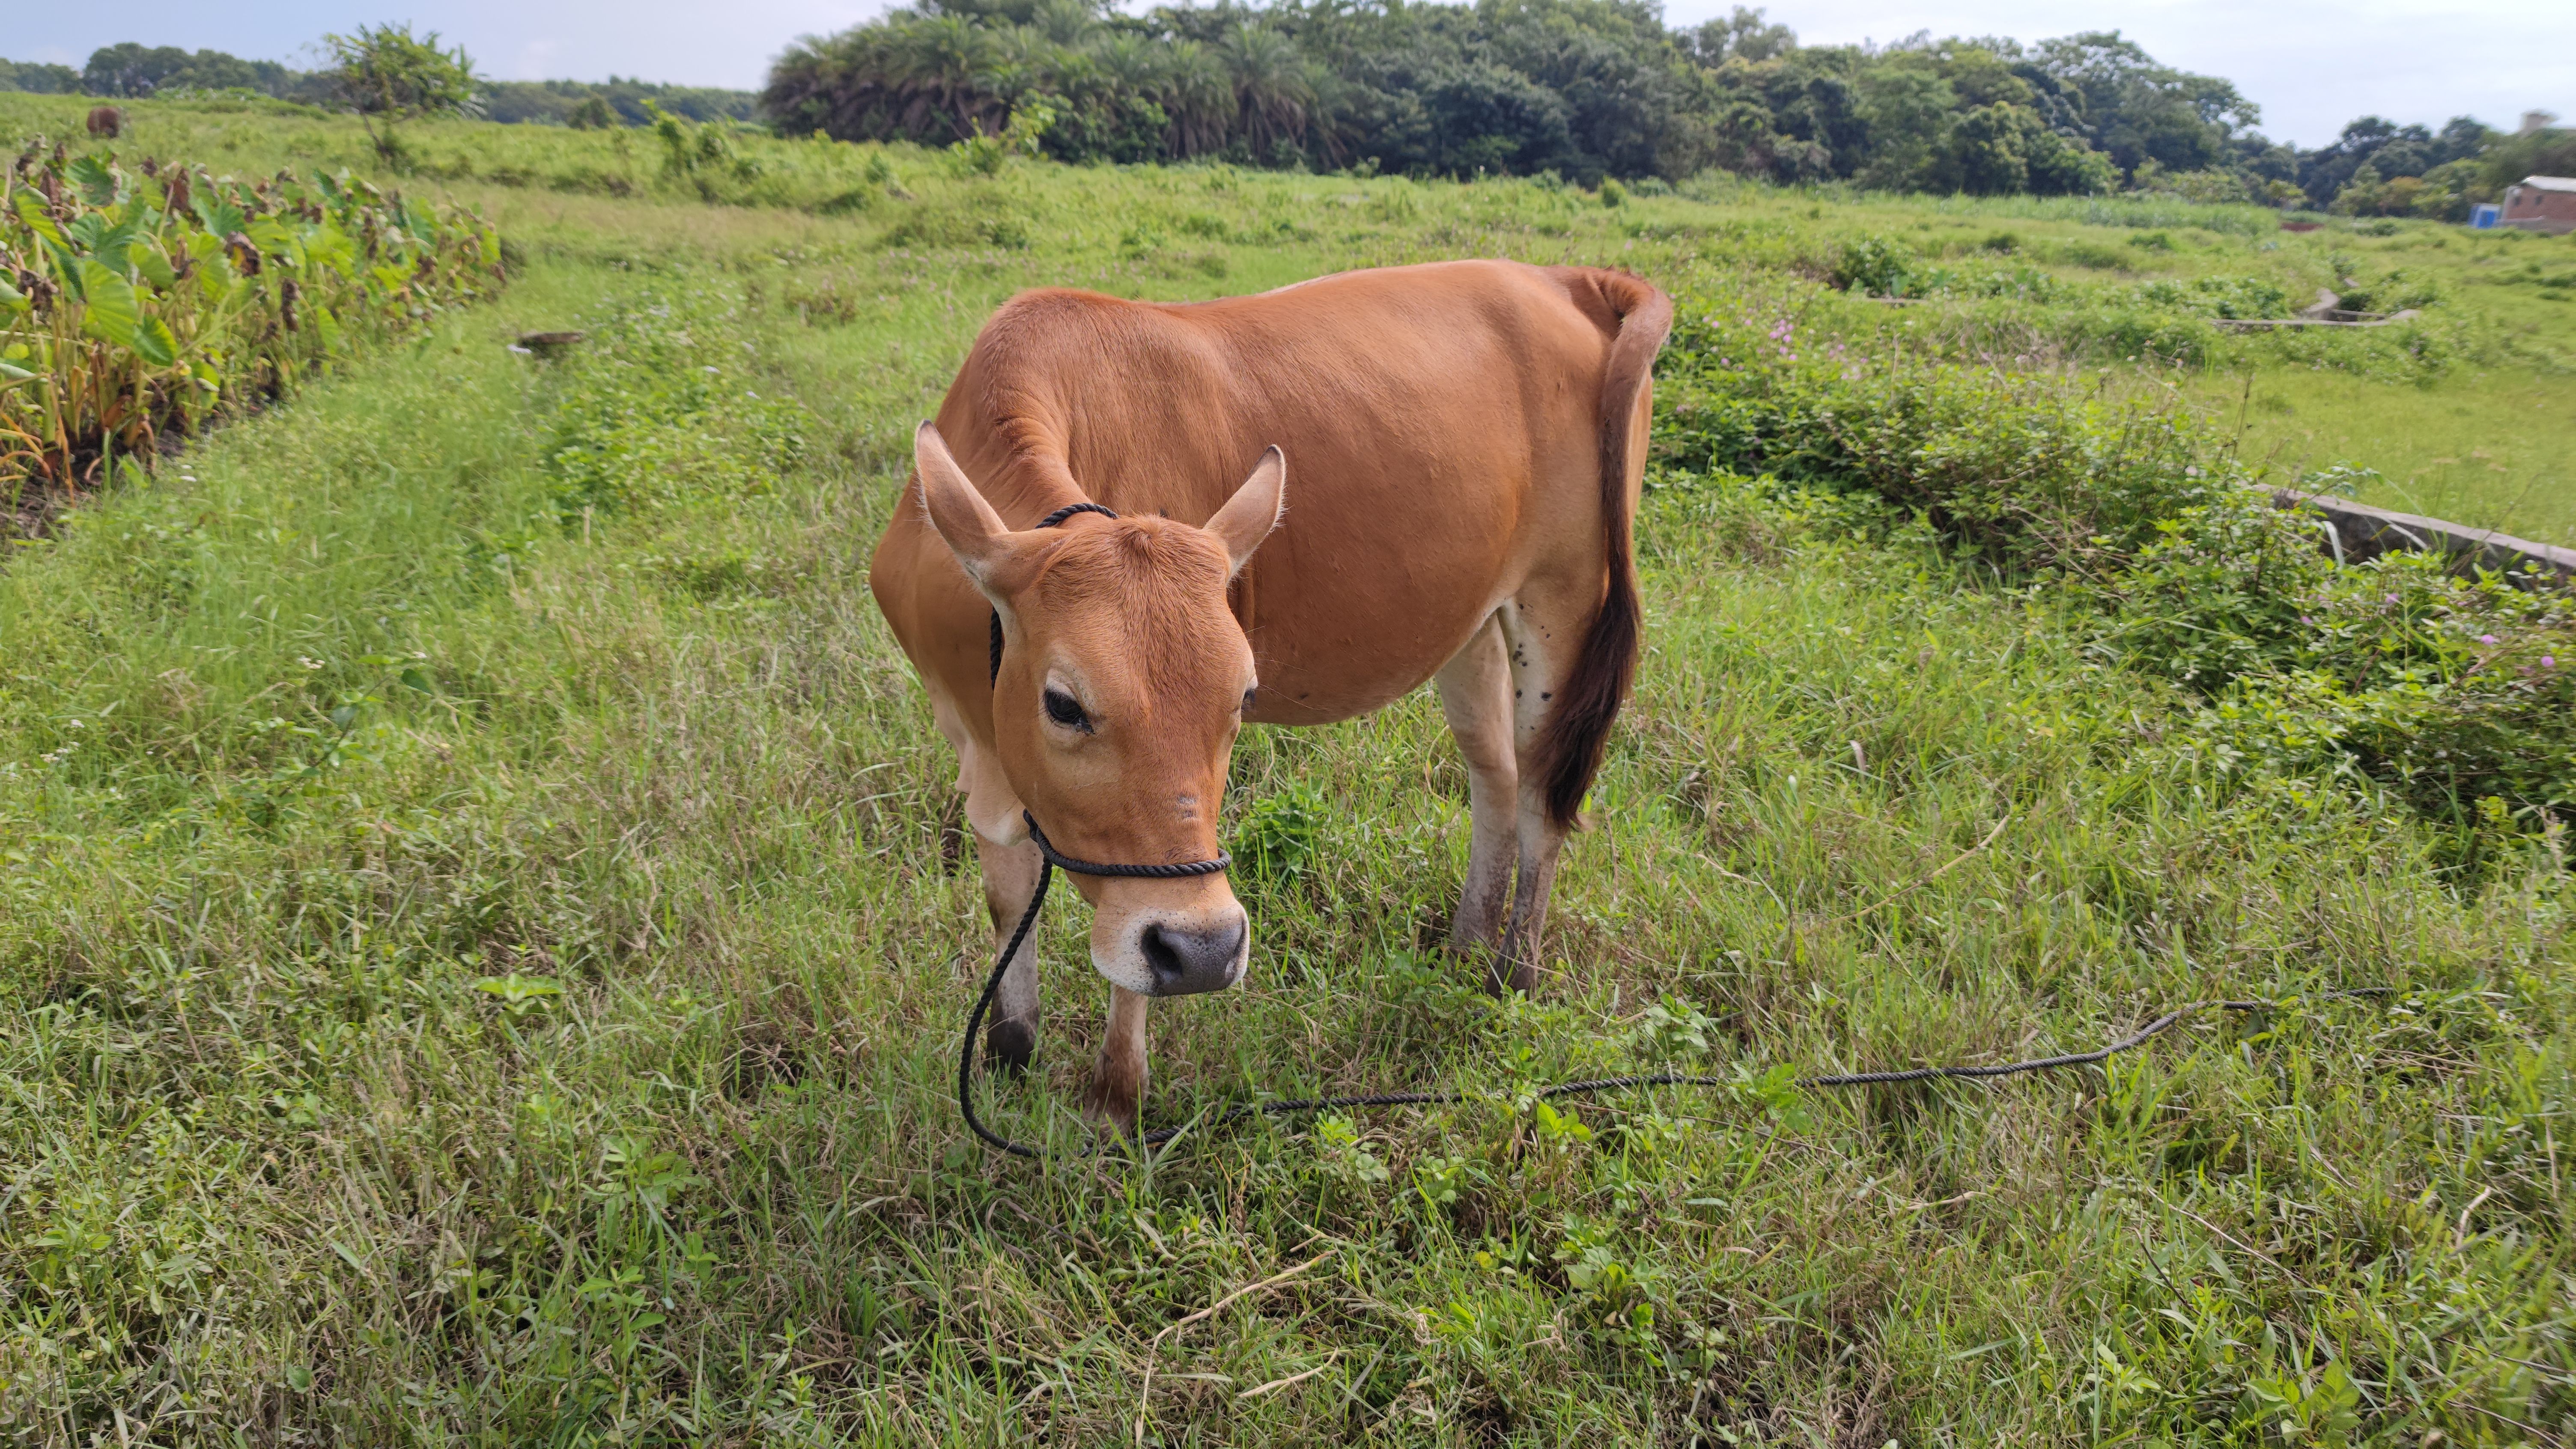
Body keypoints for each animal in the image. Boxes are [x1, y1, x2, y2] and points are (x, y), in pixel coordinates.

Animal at [865, 259, 1669, 1129]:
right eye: (1064, 703)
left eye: (1243, 698)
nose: (1206, 950)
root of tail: (1568, 277)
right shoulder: (976, 740)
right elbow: (1008, 901)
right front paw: (1011, 1056)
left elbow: (1126, 962)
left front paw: (1117, 1098)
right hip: (1473, 623)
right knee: (1495, 776)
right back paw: (1465, 948)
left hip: (1566, 599)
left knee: (1543, 795)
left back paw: (1513, 974)